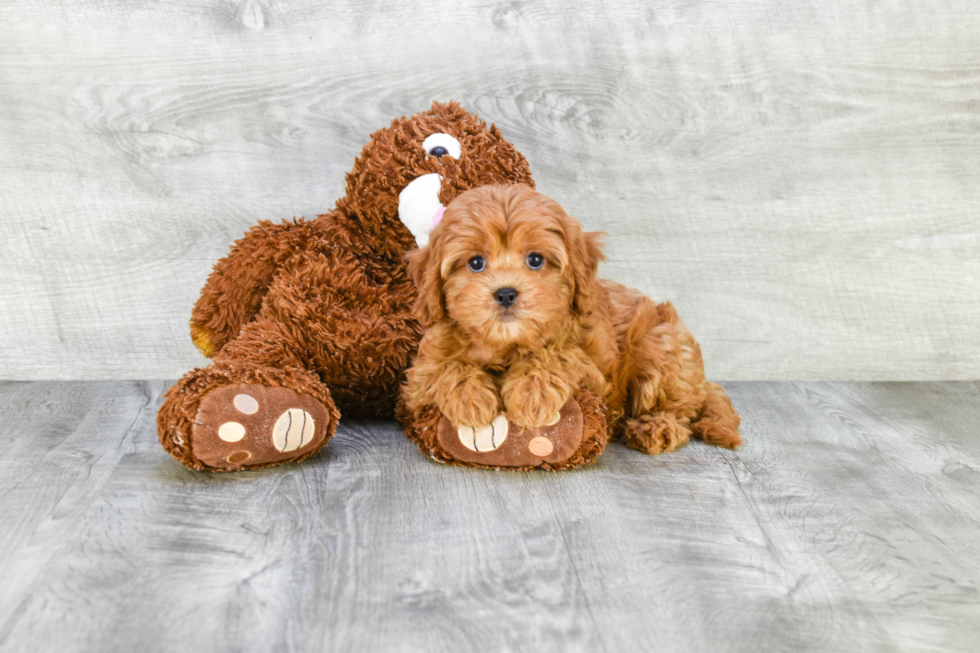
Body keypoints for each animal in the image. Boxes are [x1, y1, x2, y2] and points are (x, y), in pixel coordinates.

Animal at [402, 181, 740, 450]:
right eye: (475, 263)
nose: (506, 293)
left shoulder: (594, 369)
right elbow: (445, 367)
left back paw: (657, 427)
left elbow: (559, 354)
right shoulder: (418, 378)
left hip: (659, 343)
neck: (507, 344)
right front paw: (470, 399)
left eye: (535, 260)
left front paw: (532, 393)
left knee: (680, 407)